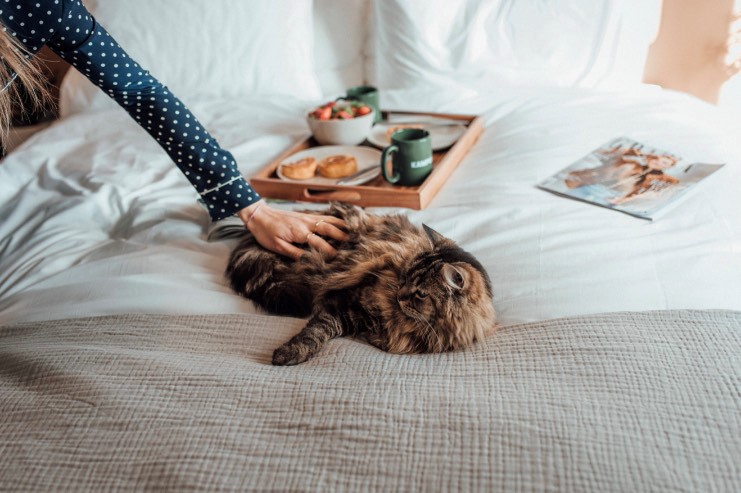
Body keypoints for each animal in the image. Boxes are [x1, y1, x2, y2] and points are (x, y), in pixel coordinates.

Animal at [225, 201, 492, 366]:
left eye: (421, 294)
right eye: (405, 276)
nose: (400, 295)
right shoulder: (343, 304)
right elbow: (315, 332)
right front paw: (289, 353)